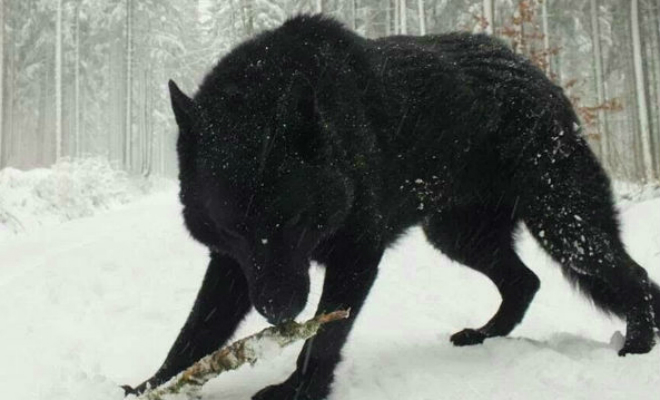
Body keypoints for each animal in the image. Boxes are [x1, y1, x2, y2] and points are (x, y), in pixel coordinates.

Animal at [125, 14, 660, 398]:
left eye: (294, 219)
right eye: (233, 229)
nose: (279, 312)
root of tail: (539, 76)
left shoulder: (356, 255)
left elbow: (323, 338)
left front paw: (299, 391)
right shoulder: (235, 265)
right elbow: (195, 332)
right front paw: (153, 386)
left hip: (566, 228)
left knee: (635, 278)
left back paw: (636, 347)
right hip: (460, 236)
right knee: (524, 281)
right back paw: (485, 334)